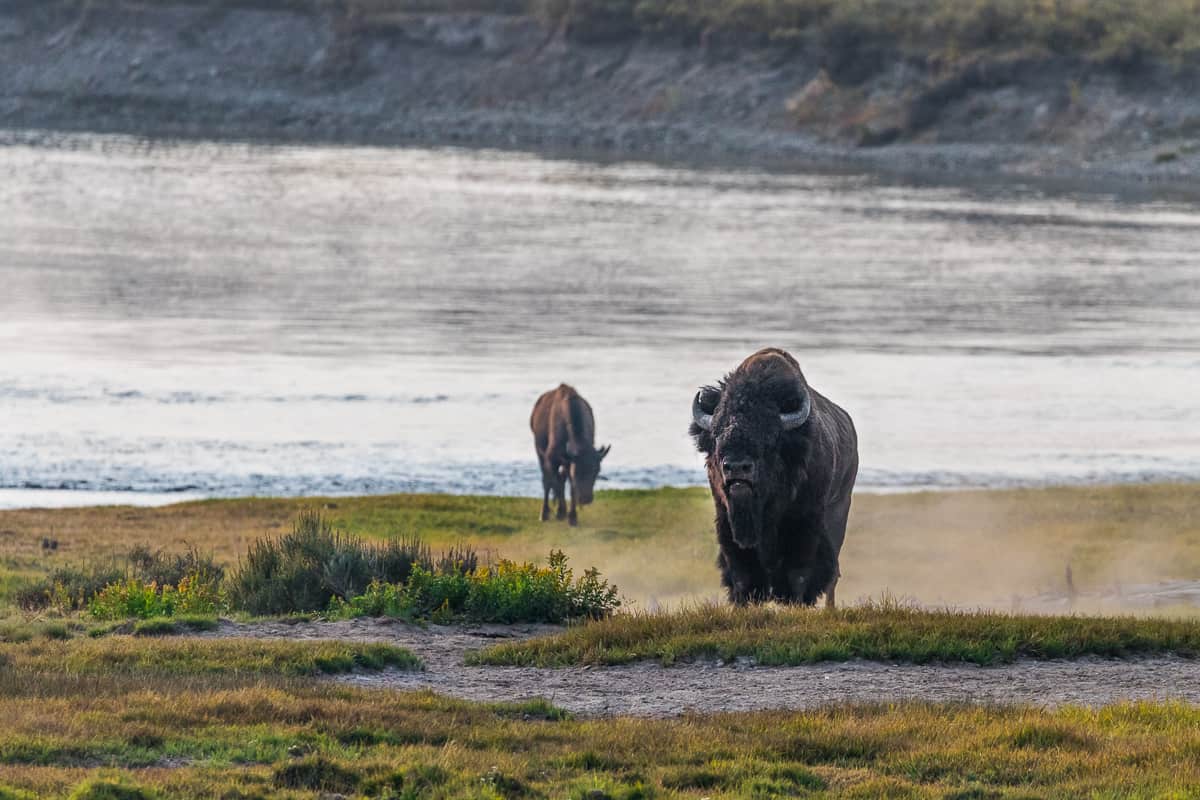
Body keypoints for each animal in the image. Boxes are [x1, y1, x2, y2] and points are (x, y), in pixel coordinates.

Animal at [532, 386, 609, 527]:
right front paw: (561, 513)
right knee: (547, 481)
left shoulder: (568, 463)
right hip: (539, 452)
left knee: (560, 479)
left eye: (597, 471)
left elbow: (570, 486)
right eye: (577, 472)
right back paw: (545, 513)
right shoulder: (552, 459)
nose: (586, 498)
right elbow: (554, 483)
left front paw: (572, 517)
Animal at [691, 350, 859, 606]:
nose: (737, 468)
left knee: (832, 574)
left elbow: (798, 573)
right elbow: (741, 574)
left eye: (769, 438)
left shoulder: (804, 522)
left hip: (839, 511)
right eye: (717, 435)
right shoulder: (726, 519)